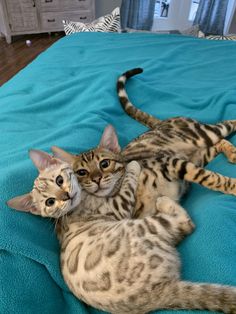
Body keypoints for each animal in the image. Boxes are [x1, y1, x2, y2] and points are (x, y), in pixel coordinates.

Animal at [6, 150, 236, 314]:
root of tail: (158, 294)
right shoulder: (117, 206)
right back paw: (163, 202)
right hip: (145, 226)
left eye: (59, 180)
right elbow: (127, 183)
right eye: (50, 202)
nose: (65, 196)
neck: (84, 199)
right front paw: (132, 165)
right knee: (185, 223)